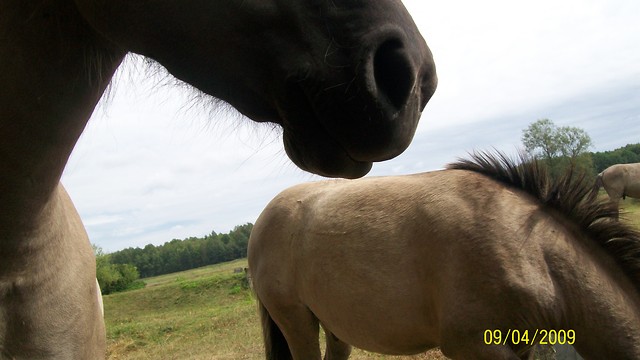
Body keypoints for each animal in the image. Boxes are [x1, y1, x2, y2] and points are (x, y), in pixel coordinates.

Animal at [249, 153, 640, 360]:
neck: (531, 249)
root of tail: (263, 218)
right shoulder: (472, 345)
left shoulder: (521, 343)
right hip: (296, 321)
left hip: (334, 326)